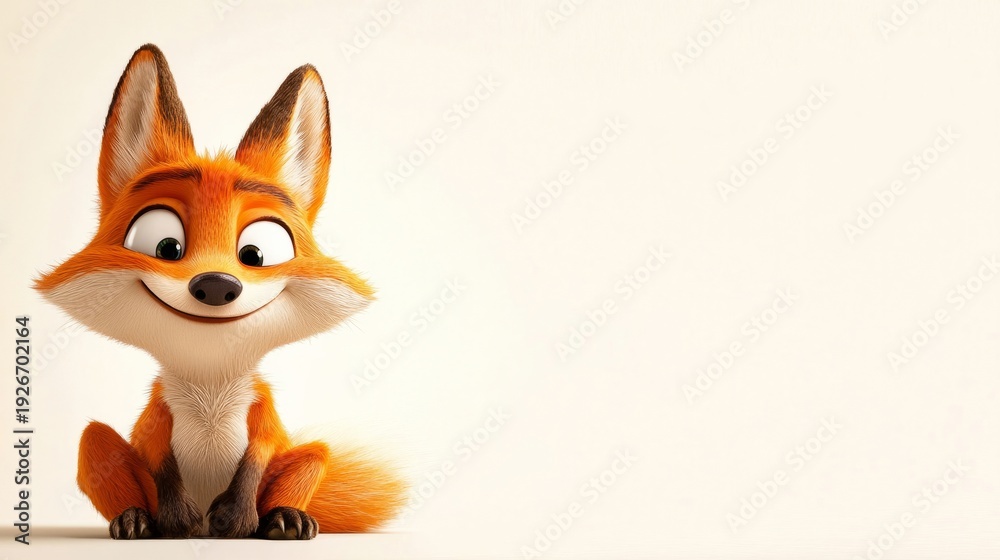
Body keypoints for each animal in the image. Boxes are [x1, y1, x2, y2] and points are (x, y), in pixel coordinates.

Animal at [33, 44, 406, 540]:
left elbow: (259, 455)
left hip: (310, 455)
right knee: (100, 445)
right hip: (96, 445)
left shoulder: (262, 413)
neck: (209, 390)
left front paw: (239, 519)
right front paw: (178, 521)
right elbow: (157, 457)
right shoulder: (157, 417)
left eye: (257, 252)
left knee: (310, 456)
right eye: (164, 245)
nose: (214, 284)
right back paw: (138, 519)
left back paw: (281, 518)